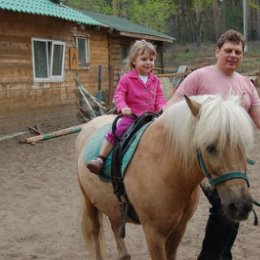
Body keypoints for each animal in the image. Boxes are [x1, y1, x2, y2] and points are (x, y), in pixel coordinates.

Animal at [75, 94, 254, 258]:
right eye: (210, 147)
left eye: (244, 145)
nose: (241, 206)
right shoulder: (154, 235)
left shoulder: (179, 229)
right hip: (89, 202)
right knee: (94, 232)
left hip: (112, 204)